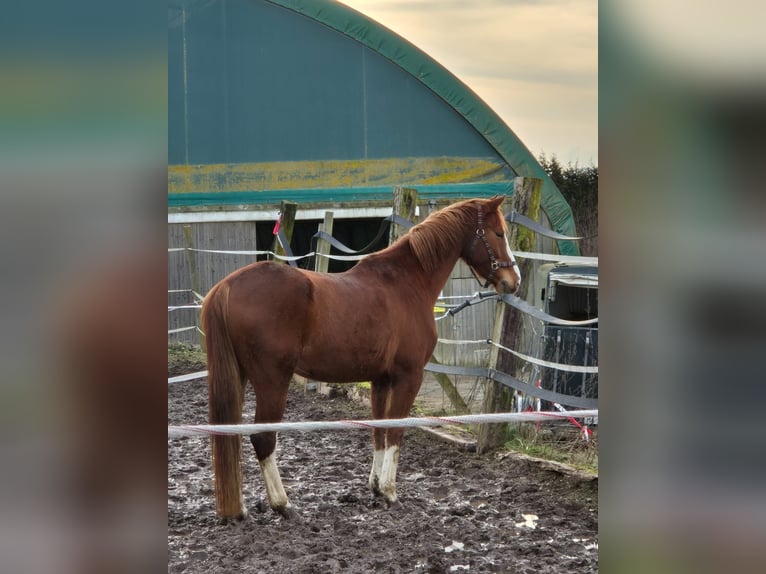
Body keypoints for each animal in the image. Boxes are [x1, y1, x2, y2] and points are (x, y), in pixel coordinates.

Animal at [201, 196, 520, 520]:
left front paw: (376, 487)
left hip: (240, 377)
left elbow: (379, 429)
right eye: (498, 233)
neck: (406, 283)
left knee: (233, 433)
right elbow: (396, 430)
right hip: (273, 381)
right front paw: (390, 492)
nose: (513, 281)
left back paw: (241, 507)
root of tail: (226, 286)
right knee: (262, 438)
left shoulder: (381, 380)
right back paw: (283, 504)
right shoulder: (409, 376)